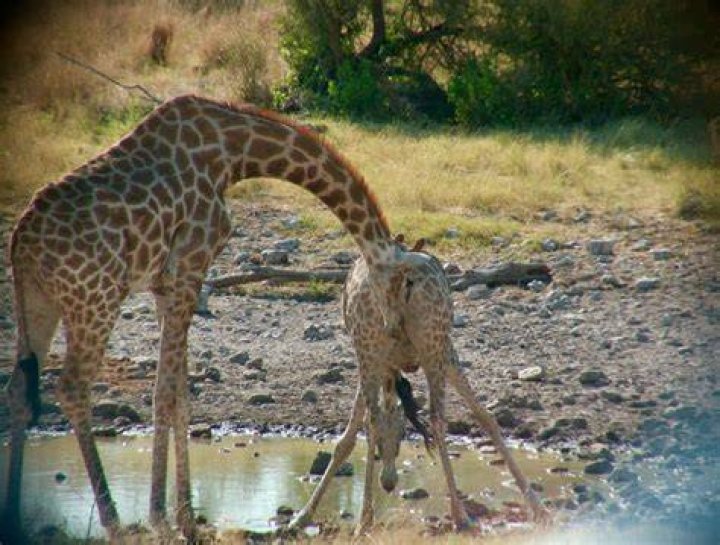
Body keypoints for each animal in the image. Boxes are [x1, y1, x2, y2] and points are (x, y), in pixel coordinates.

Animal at [2, 94, 411, 542]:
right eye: (397, 284)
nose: (394, 328)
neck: (234, 154)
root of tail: (20, 242)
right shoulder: (189, 266)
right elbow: (164, 392)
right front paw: (161, 517)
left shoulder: (167, 284)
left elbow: (180, 393)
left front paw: (184, 519)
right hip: (96, 299)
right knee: (73, 387)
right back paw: (114, 522)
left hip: (37, 302)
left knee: (19, 389)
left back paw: (16, 517)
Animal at [288, 242, 549, 534]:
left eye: (402, 435)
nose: (389, 483)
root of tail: (398, 279)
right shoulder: (408, 359)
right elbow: (485, 417)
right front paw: (302, 516)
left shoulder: (390, 362)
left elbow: (354, 433)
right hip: (425, 347)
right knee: (434, 418)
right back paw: (457, 515)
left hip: (401, 348)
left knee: (413, 418)